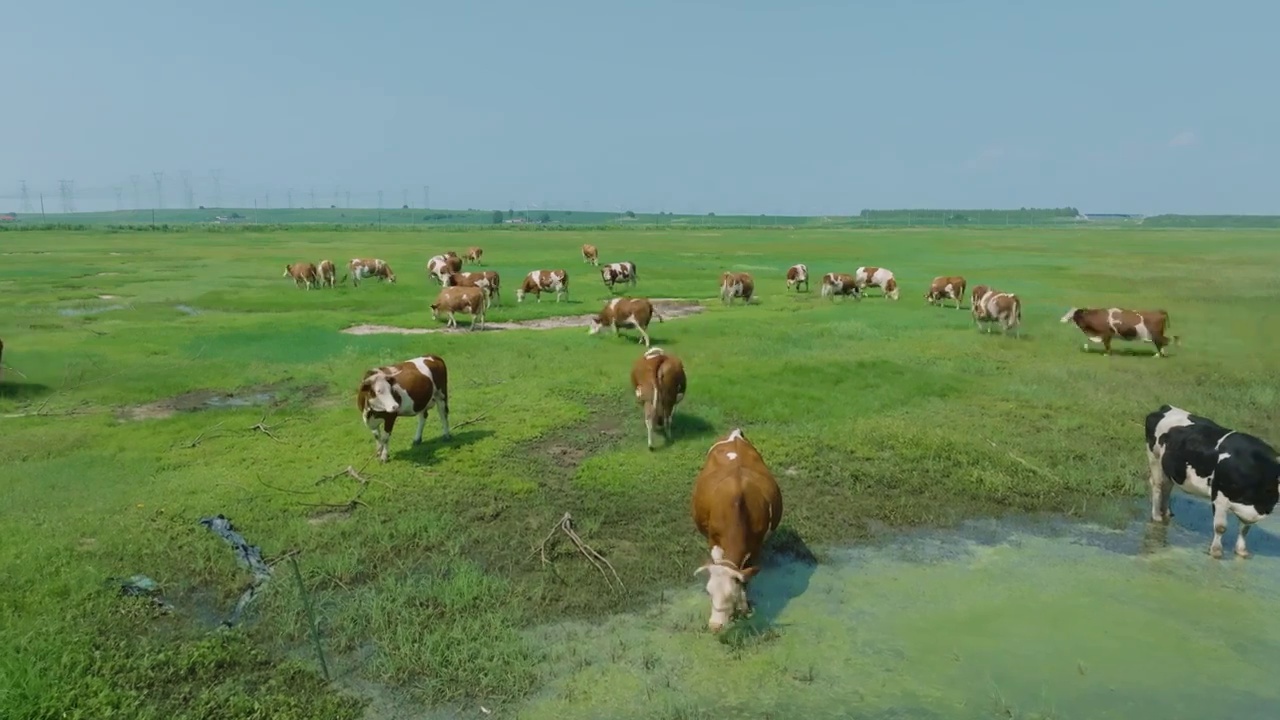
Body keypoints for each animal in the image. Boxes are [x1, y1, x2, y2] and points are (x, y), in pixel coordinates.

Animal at [691, 425, 778, 627]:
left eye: (731, 595)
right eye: (709, 592)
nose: (715, 626)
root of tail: (736, 435)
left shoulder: (755, 548)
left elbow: (745, 578)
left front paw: (745, 608)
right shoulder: (714, 540)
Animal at [1141, 399, 1280, 558]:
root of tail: (1167, 407)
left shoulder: (1250, 510)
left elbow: (1245, 529)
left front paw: (1241, 551)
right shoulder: (1219, 497)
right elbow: (1220, 527)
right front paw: (1216, 552)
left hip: (1169, 468)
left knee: (1167, 487)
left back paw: (1167, 513)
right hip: (1154, 458)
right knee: (1157, 486)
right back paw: (1157, 517)